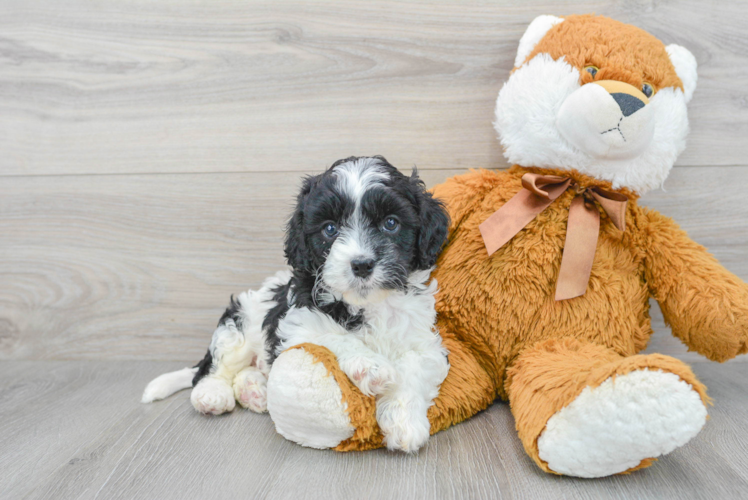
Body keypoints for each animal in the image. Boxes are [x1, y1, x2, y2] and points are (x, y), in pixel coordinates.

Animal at [145, 156, 450, 454]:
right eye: (330, 229)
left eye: (391, 223)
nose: (362, 264)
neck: (366, 304)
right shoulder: (297, 326)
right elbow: (333, 337)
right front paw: (371, 366)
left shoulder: (426, 343)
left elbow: (414, 367)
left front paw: (404, 423)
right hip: (238, 321)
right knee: (213, 367)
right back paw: (213, 394)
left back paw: (255, 391)